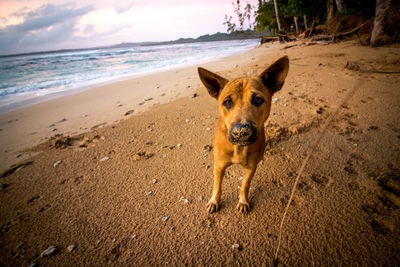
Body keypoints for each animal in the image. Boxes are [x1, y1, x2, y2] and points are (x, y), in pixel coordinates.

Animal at [198, 56, 290, 214]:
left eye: (258, 99)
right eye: (227, 102)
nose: (241, 132)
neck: (238, 148)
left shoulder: (251, 168)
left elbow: (245, 186)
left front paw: (243, 201)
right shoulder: (219, 166)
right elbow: (217, 186)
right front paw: (214, 201)